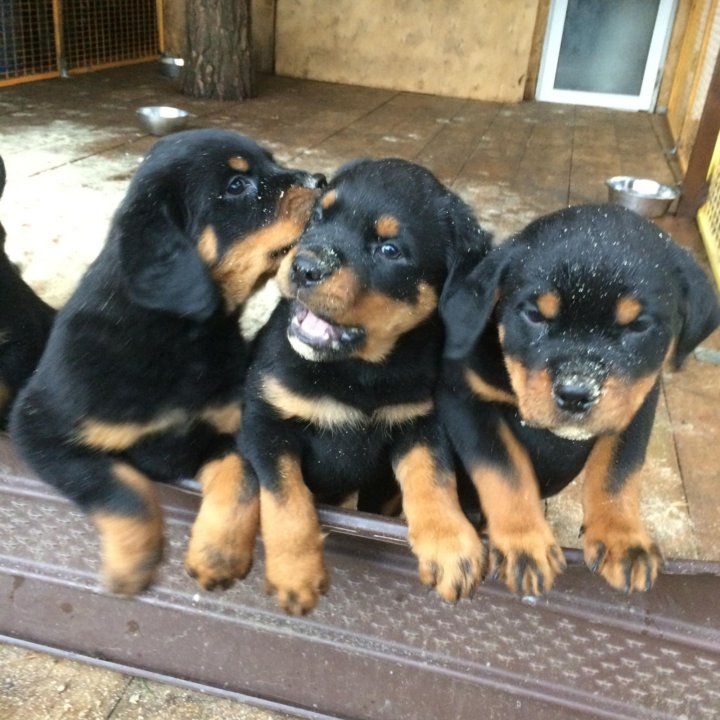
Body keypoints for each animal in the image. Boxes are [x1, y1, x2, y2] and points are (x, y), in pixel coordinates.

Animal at [9, 129, 320, 596]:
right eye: (236, 185)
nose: (322, 181)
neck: (181, 334)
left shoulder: (233, 426)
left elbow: (241, 475)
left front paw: (218, 553)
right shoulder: (38, 430)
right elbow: (120, 486)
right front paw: (131, 566)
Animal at [239, 158, 492, 612]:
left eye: (389, 250)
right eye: (318, 217)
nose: (305, 267)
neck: (358, 372)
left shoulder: (419, 419)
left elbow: (433, 476)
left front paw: (451, 546)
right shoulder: (264, 420)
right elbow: (286, 496)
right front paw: (295, 572)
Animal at [438, 202, 720, 596]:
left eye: (638, 326)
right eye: (535, 315)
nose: (575, 392)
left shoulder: (637, 401)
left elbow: (617, 471)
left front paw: (621, 537)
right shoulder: (463, 398)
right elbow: (504, 469)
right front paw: (524, 541)